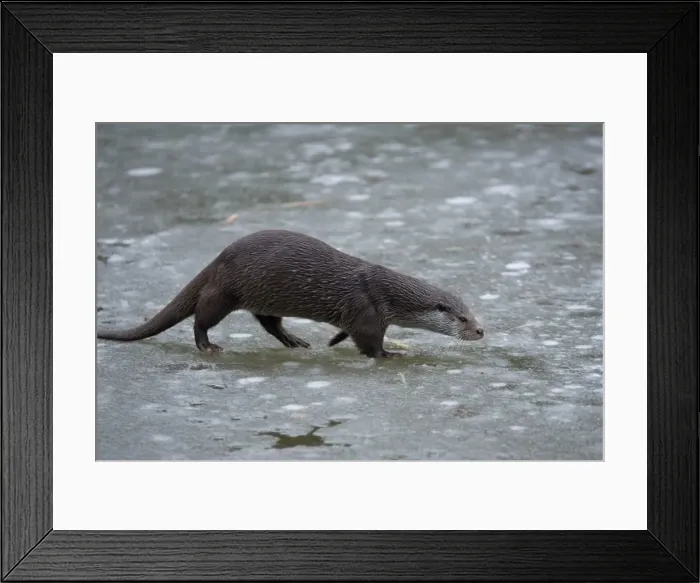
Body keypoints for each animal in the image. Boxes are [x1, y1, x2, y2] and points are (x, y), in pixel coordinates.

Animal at [97, 229, 484, 358]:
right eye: (462, 317)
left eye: (472, 311)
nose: (481, 330)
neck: (385, 291)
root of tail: (218, 258)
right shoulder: (367, 309)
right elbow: (369, 343)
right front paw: (390, 354)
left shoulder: (362, 314)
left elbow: (346, 333)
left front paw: (332, 342)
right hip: (224, 291)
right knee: (201, 318)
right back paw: (208, 346)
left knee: (269, 322)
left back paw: (295, 341)